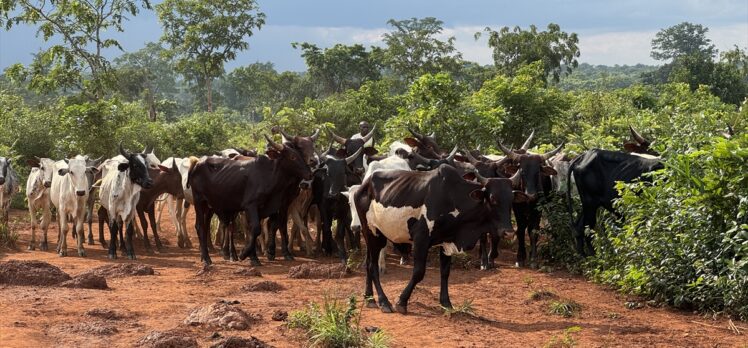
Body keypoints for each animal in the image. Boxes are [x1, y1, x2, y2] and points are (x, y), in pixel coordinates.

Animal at [190, 135, 316, 266]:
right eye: (292, 157)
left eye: (301, 155)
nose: (310, 174)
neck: (269, 175)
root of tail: (198, 162)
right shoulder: (251, 206)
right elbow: (256, 229)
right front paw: (245, 254)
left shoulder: (266, 208)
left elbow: (256, 230)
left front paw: (254, 257)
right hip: (199, 201)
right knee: (200, 226)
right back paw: (206, 258)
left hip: (210, 206)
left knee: (208, 226)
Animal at [356, 164, 524, 314]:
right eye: (493, 199)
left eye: (511, 200)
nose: (508, 232)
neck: (453, 197)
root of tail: (365, 184)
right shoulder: (421, 239)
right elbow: (418, 272)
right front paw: (402, 302)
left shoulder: (447, 242)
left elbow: (445, 272)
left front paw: (446, 303)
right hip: (371, 232)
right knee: (372, 265)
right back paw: (383, 301)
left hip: (375, 235)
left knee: (369, 264)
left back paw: (369, 298)